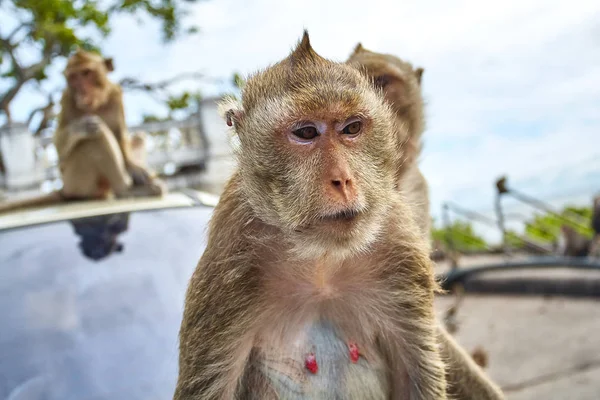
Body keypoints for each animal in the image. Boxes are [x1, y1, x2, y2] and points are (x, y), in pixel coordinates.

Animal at [0, 50, 164, 216]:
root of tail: (63, 190)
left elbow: (120, 134)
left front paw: (134, 167)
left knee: (138, 137)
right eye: (73, 77)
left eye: (86, 73)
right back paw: (126, 190)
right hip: (76, 182)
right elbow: (59, 144)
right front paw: (80, 126)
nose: (82, 90)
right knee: (94, 137)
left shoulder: (116, 94)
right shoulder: (66, 98)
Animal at [176, 32, 504, 400]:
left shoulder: (400, 243)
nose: (343, 179)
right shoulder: (229, 262)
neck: (321, 259)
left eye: (352, 127)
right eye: (306, 133)